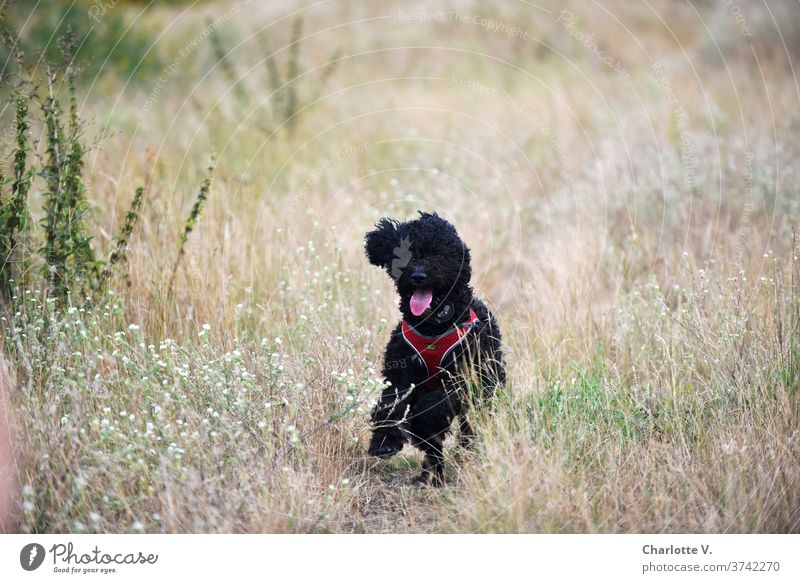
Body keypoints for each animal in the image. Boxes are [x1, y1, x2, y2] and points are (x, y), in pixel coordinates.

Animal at [364, 212, 504, 486]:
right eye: (406, 254)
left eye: (438, 254)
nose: (418, 275)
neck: (434, 326)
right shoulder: (400, 372)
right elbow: (390, 404)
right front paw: (385, 442)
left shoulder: (460, 379)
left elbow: (433, 405)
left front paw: (421, 423)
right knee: (435, 447)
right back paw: (431, 475)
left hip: (486, 387)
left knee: (470, 427)